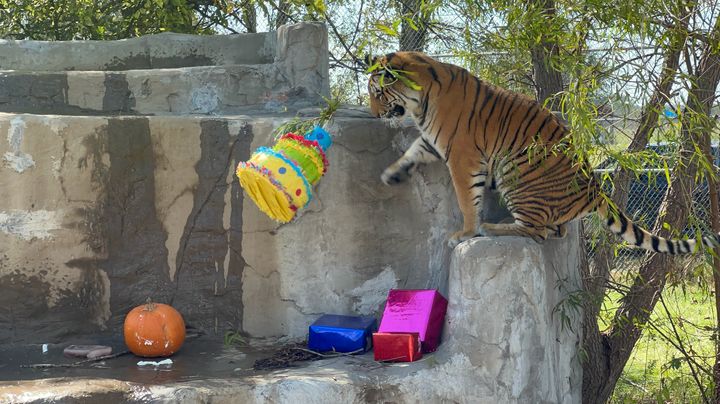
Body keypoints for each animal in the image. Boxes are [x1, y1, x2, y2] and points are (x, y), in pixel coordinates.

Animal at [366, 50, 720, 252]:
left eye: (378, 93)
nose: (373, 114)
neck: (421, 101)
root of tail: (595, 187)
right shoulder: (434, 141)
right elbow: (412, 151)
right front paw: (391, 174)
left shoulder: (461, 155)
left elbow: (467, 201)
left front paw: (464, 232)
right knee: (555, 230)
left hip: (514, 171)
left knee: (537, 232)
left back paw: (490, 227)